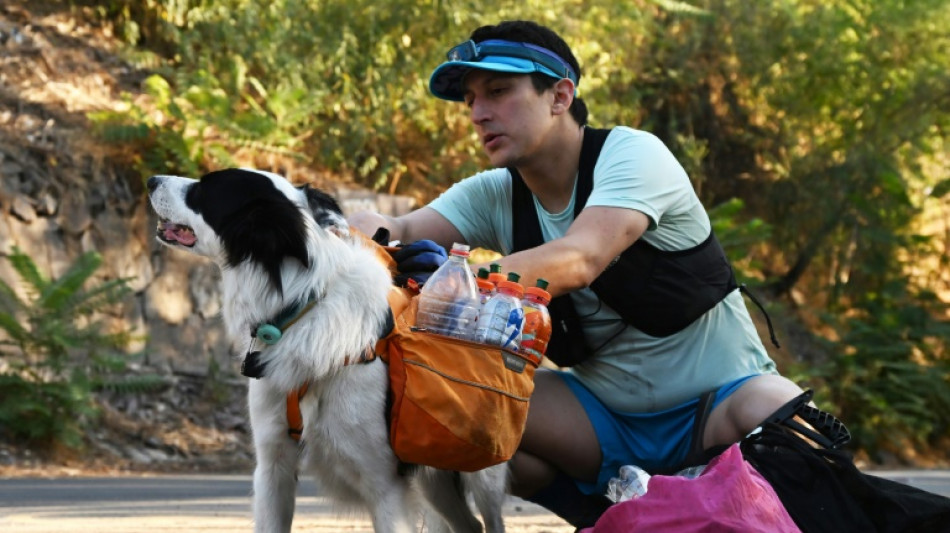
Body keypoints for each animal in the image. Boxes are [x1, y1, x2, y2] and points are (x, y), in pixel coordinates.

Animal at [147, 169, 506, 532]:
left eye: (206, 188)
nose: (151, 180)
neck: (301, 308)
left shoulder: (387, 488)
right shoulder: (272, 469)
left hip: (482, 478)